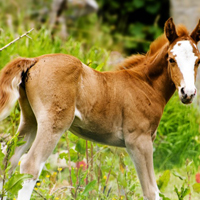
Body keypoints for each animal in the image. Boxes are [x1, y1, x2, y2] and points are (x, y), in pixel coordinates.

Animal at [0, 18, 200, 199]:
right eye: (171, 59)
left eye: (198, 61)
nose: (188, 93)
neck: (146, 84)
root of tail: (34, 60)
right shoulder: (138, 140)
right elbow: (151, 191)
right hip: (53, 124)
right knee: (29, 165)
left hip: (30, 120)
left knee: (9, 161)